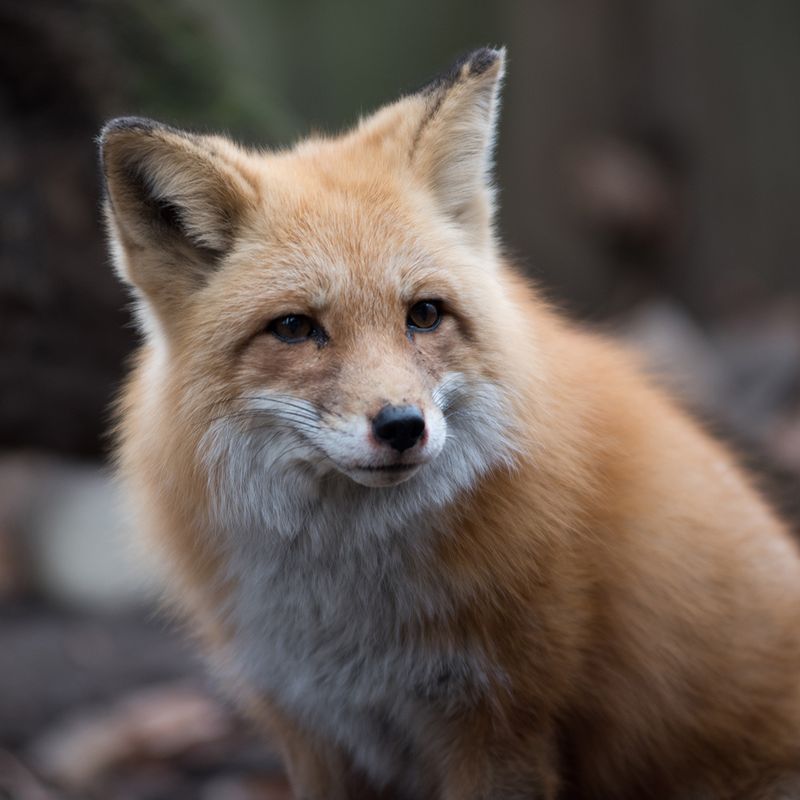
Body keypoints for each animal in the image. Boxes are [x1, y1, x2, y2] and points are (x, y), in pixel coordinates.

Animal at [98, 48, 800, 799]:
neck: (349, 614)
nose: (403, 426)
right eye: (293, 328)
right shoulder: (316, 733)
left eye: (426, 315)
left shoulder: (503, 723)